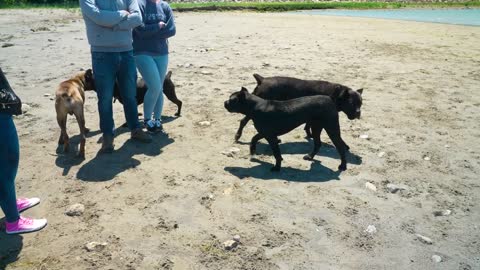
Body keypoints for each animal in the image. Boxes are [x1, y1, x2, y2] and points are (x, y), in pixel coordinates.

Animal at [234, 73, 362, 142]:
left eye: (361, 103)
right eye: (352, 104)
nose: (358, 113)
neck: (336, 93)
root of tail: (262, 79)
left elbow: (307, 125)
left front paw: (309, 134)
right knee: (243, 121)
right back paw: (238, 135)